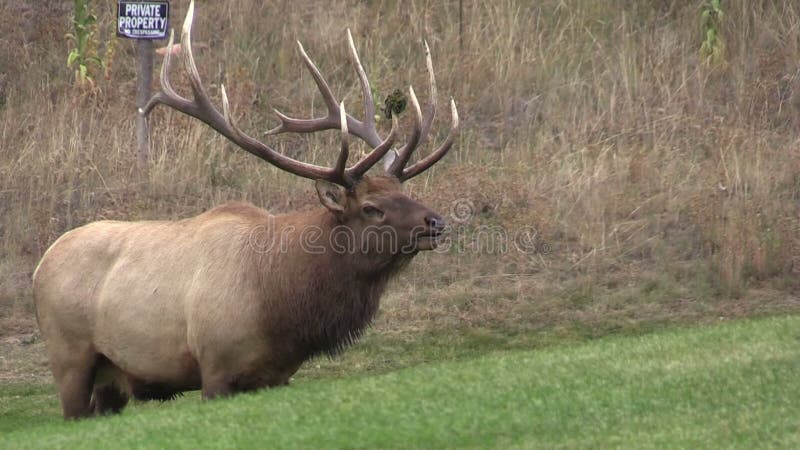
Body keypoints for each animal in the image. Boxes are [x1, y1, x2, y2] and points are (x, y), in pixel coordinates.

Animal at [32, 0, 456, 420]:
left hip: (110, 378)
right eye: (371, 208)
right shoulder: (216, 365)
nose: (435, 222)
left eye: (404, 191)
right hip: (68, 355)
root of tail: (41, 265)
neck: (281, 302)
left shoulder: (277, 375)